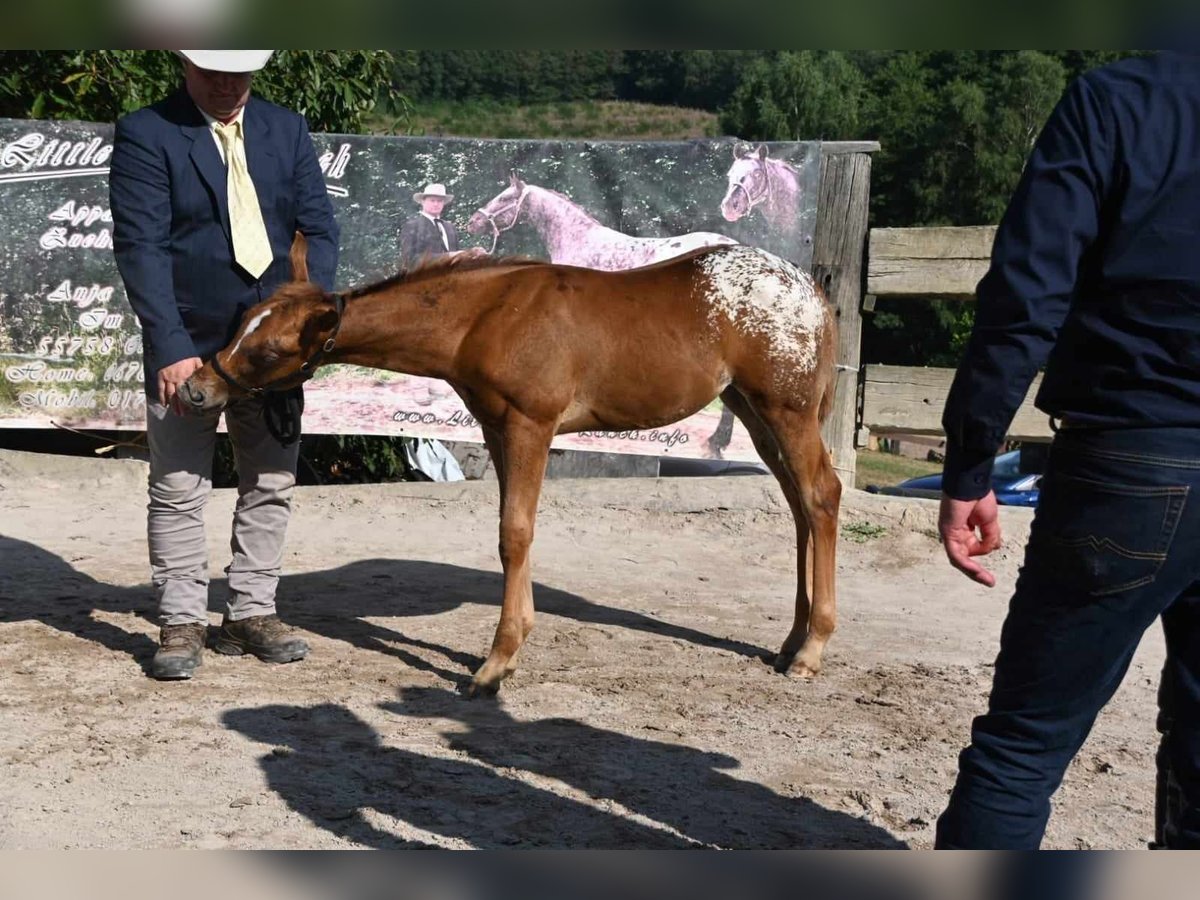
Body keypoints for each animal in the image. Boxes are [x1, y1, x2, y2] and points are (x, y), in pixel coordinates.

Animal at [180, 236, 844, 696]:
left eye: (268, 349)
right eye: (239, 325)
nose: (195, 391)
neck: (486, 316)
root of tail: (811, 290)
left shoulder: (531, 425)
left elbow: (515, 532)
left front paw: (493, 666)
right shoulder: (498, 430)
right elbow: (509, 532)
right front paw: (512, 648)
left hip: (785, 409)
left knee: (821, 495)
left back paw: (812, 652)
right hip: (754, 412)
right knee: (797, 505)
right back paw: (788, 643)